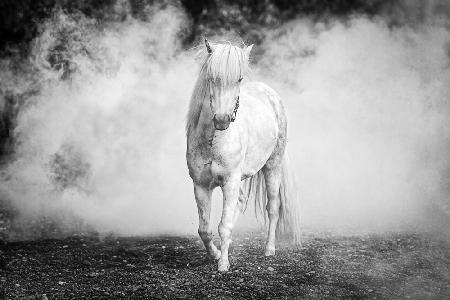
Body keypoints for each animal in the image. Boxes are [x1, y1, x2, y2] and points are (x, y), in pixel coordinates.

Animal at [186, 39, 302, 272]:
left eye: (239, 78)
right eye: (211, 77)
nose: (222, 120)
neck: (213, 140)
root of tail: (270, 93)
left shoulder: (230, 181)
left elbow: (223, 226)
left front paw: (223, 264)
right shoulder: (200, 185)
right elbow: (204, 229)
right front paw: (215, 254)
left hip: (272, 167)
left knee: (273, 207)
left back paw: (269, 250)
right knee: (239, 203)